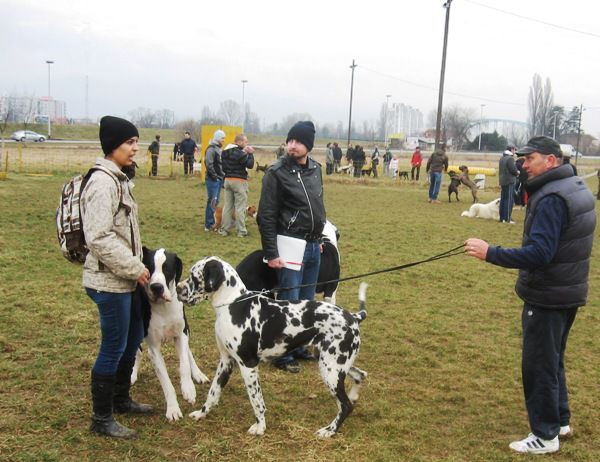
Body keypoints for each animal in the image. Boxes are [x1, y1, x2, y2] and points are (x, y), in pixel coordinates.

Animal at [134, 247, 211, 420]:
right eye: (148, 267)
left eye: (167, 268)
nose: (157, 287)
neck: (164, 307)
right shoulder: (154, 349)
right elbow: (166, 382)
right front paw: (173, 409)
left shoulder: (181, 334)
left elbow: (184, 364)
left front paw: (188, 388)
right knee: (137, 351)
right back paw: (132, 374)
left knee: (188, 353)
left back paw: (198, 374)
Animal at [176, 256, 368, 436]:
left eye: (194, 276)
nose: (177, 288)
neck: (234, 304)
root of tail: (354, 317)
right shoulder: (225, 361)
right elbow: (213, 393)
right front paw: (201, 414)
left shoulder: (248, 365)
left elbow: (256, 401)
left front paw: (260, 426)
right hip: (332, 364)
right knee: (360, 375)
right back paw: (353, 396)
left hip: (331, 370)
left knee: (346, 405)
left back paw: (330, 430)